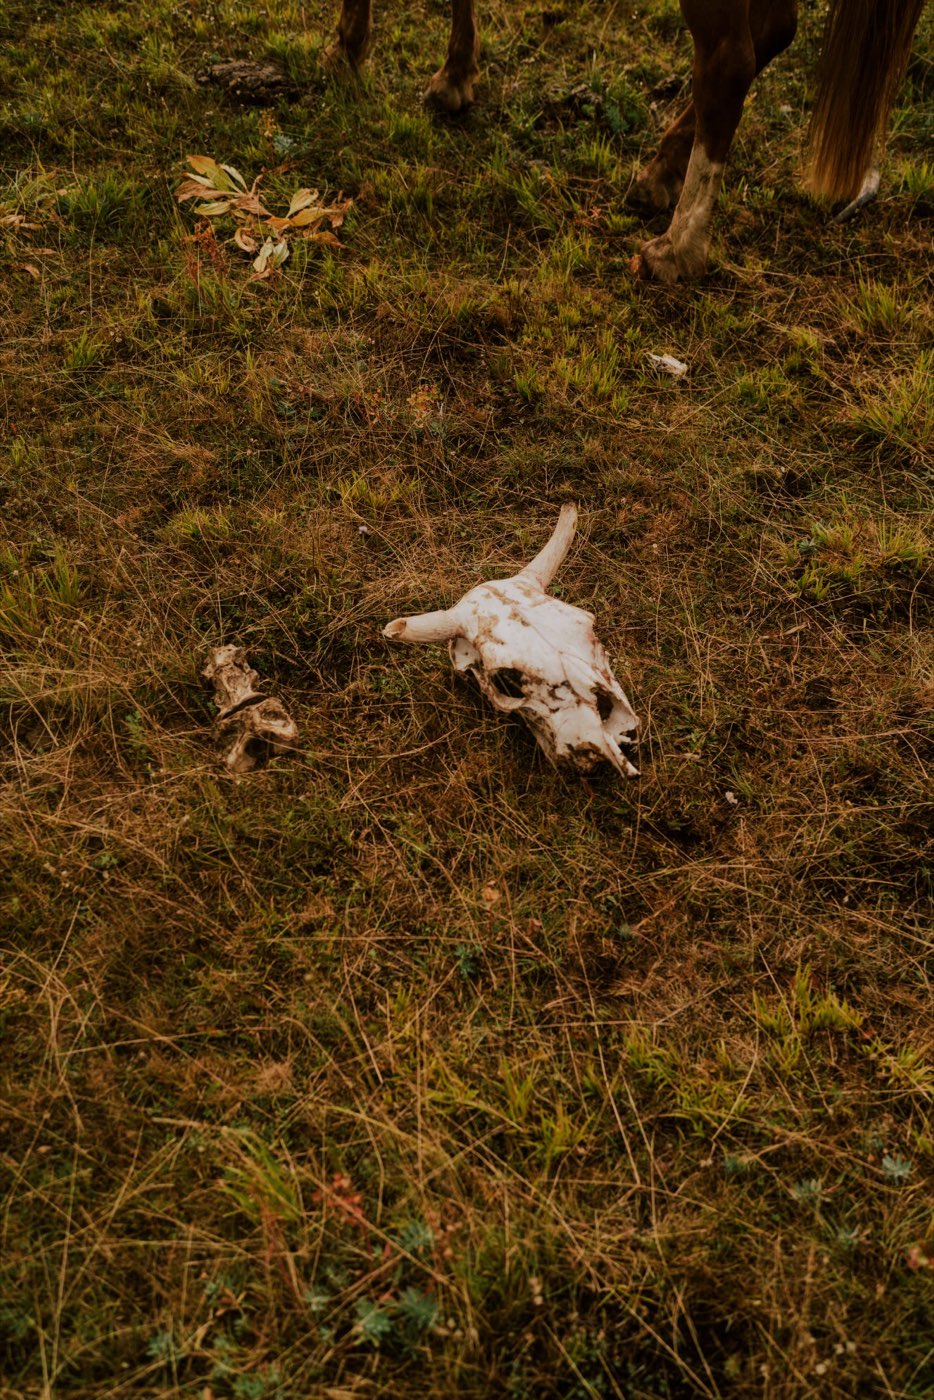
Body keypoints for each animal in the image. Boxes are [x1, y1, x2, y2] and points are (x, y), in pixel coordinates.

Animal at [323, 0, 924, 282]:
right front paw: (455, 72)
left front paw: (349, 46)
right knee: (773, 32)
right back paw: (659, 174)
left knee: (730, 61)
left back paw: (678, 247)